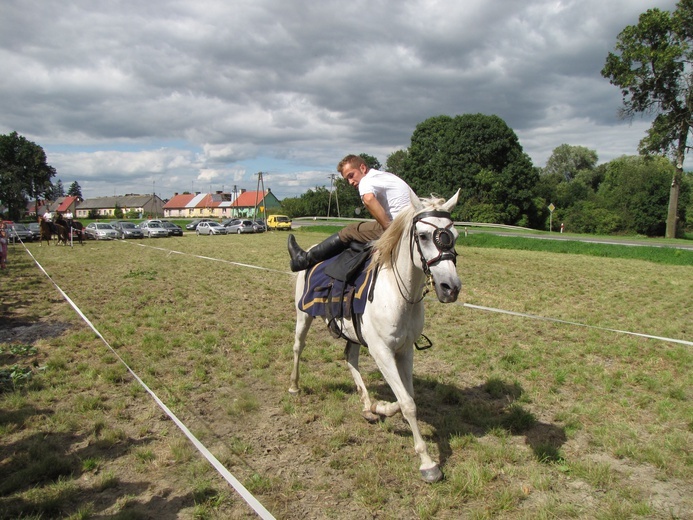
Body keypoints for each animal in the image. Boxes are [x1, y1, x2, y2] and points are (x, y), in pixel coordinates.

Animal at [290, 189, 462, 482]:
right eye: (423, 236)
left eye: (455, 234)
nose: (450, 287)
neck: (397, 293)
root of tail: (311, 252)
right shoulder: (382, 352)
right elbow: (407, 403)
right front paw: (428, 463)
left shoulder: (404, 350)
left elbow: (407, 398)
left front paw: (380, 408)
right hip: (304, 316)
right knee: (298, 347)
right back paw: (294, 385)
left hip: (352, 334)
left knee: (350, 359)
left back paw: (367, 405)